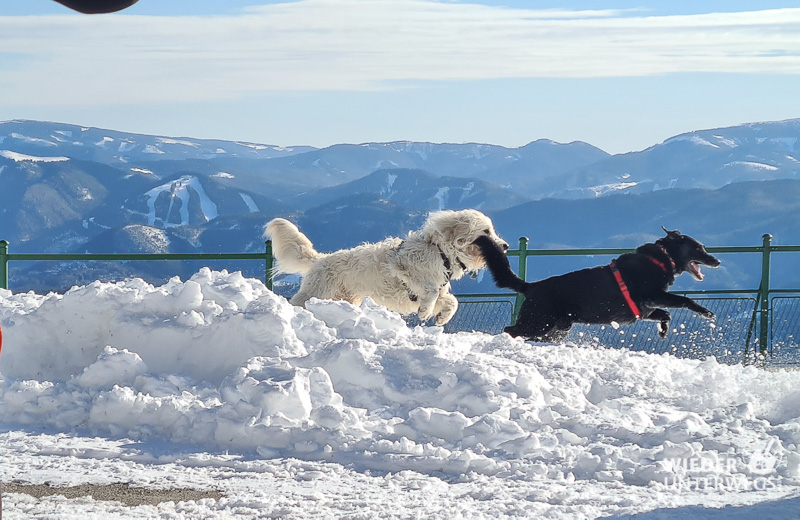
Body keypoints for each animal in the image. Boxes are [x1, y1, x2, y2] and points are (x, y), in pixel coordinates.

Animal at [266, 208, 510, 322]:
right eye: (486, 231)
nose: (506, 246)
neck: (441, 253)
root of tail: (320, 259)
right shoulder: (406, 268)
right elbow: (430, 291)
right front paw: (424, 312)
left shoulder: (439, 290)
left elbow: (451, 301)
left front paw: (441, 317)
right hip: (317, 292)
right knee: (297, 302)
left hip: (345, 298)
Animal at [478, 229, 720, 344]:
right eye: (699, 248)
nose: (717, 261)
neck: (661, 259)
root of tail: (532, 286)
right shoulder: (652, 296)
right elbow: (684, 300)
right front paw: (706, 313)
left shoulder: (646, 309)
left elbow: (666, 315)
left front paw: (662, 331)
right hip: (537, 322)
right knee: (510, 330)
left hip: (557, 328)